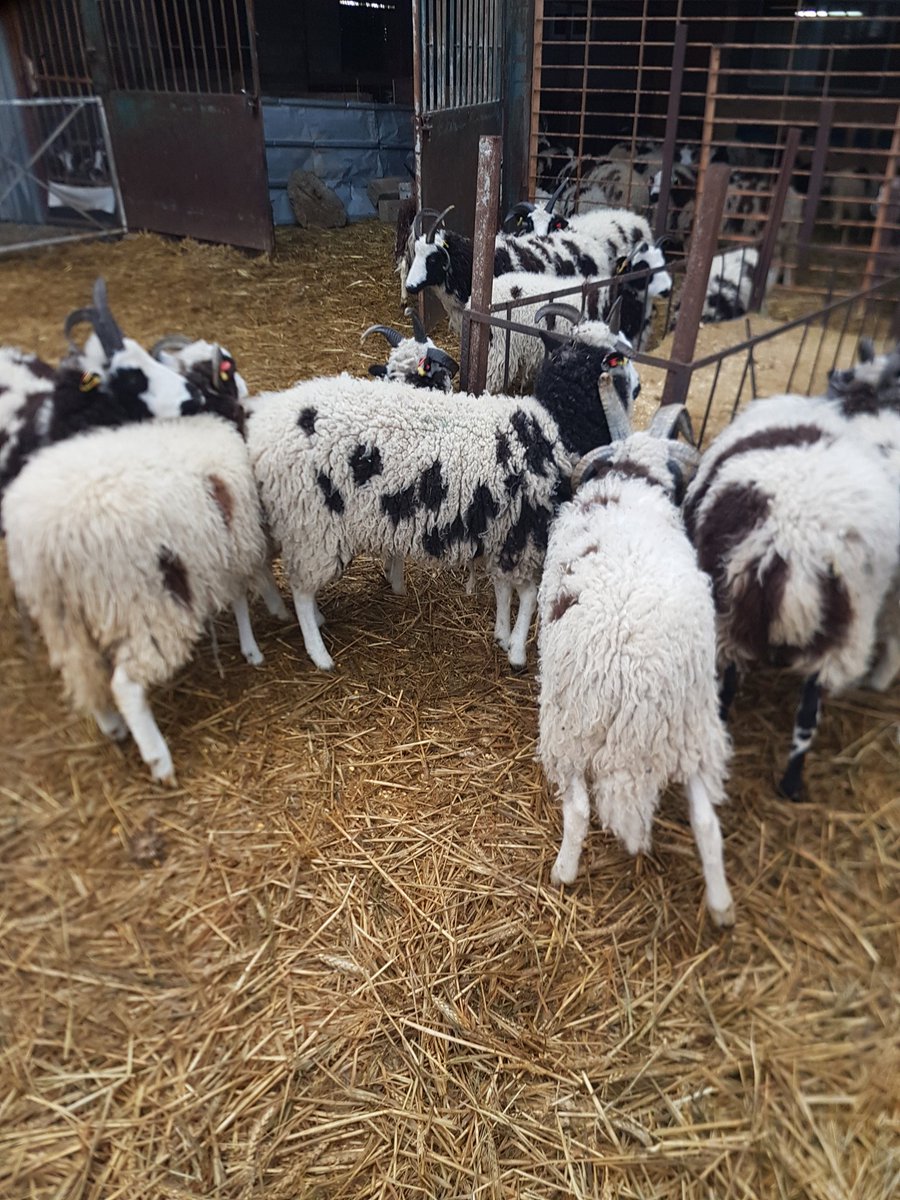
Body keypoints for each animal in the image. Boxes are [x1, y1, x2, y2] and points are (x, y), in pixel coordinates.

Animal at [3, 408, 276, 786]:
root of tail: (47, 537)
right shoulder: (240, 541)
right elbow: (252, 587)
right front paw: (272, 620)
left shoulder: (223, 549)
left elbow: (238, 596)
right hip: (144, 602)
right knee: (126, 685)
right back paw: (159, 760)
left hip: (59, 615)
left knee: (83, 674)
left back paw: (112, 726)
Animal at [244, 308, 640, 672]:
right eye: (616, 357)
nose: (637, 387)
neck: (554, 424)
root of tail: (262, 429)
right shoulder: (526, 529)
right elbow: (527, 595)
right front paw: (516, 651)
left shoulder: (504, 529)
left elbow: (503, 587)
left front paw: (501, 633)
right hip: (312, 523)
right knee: (301, 590)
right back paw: (320, 654)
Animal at [538, 387, 735, 927]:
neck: (631, 481)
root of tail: (641, 681)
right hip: (693, 728)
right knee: (707, 822)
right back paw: (721, 905)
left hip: (568, 724)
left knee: (579, 809)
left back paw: (563, 873)